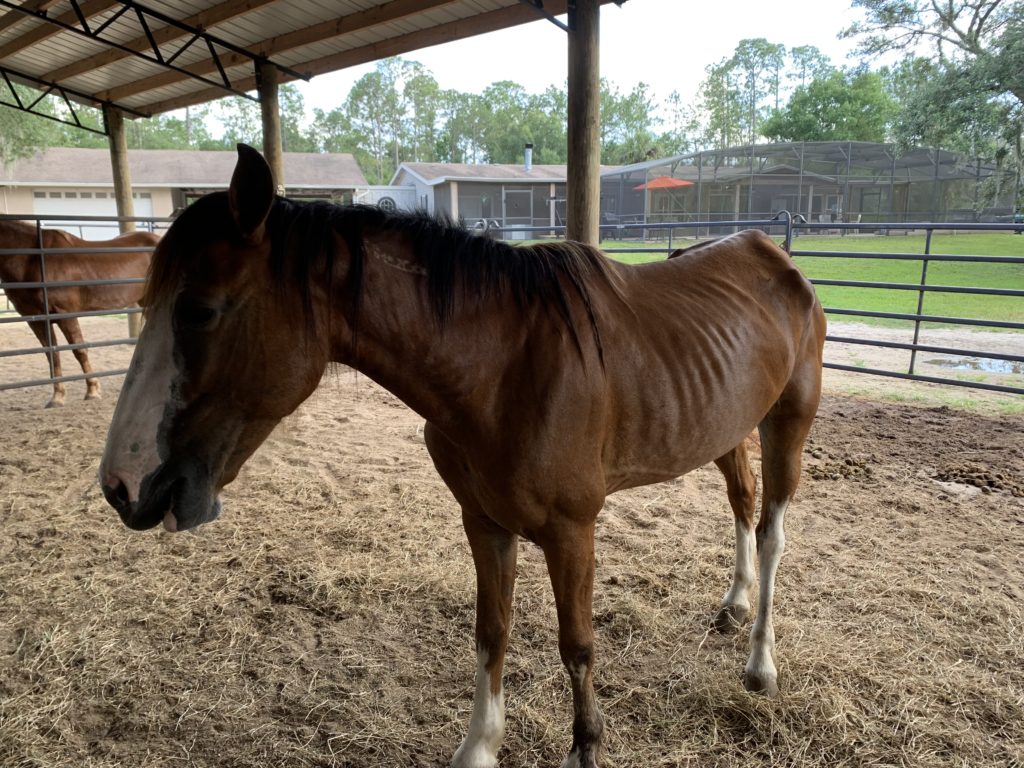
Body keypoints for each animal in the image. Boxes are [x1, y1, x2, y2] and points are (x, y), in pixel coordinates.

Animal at [1, 218, 158, 405]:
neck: (32, 260)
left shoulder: (65, 314)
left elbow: (79, 350)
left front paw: (92, 390)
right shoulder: (37, 319)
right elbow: (52, 355)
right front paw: (57, 396)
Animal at [99, 145, 827, 768]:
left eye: (200, 310)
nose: (123, 487)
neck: (504, 369)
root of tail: (771, 253)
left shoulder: (572, 531)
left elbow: (576, 646)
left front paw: (584, 747)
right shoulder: (483, 522)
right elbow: (491, 630)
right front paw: (479, 746)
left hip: (787, 423)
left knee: (772, 532)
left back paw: (761, 663)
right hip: (728, 425)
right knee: (742, 501)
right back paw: (735, 604)